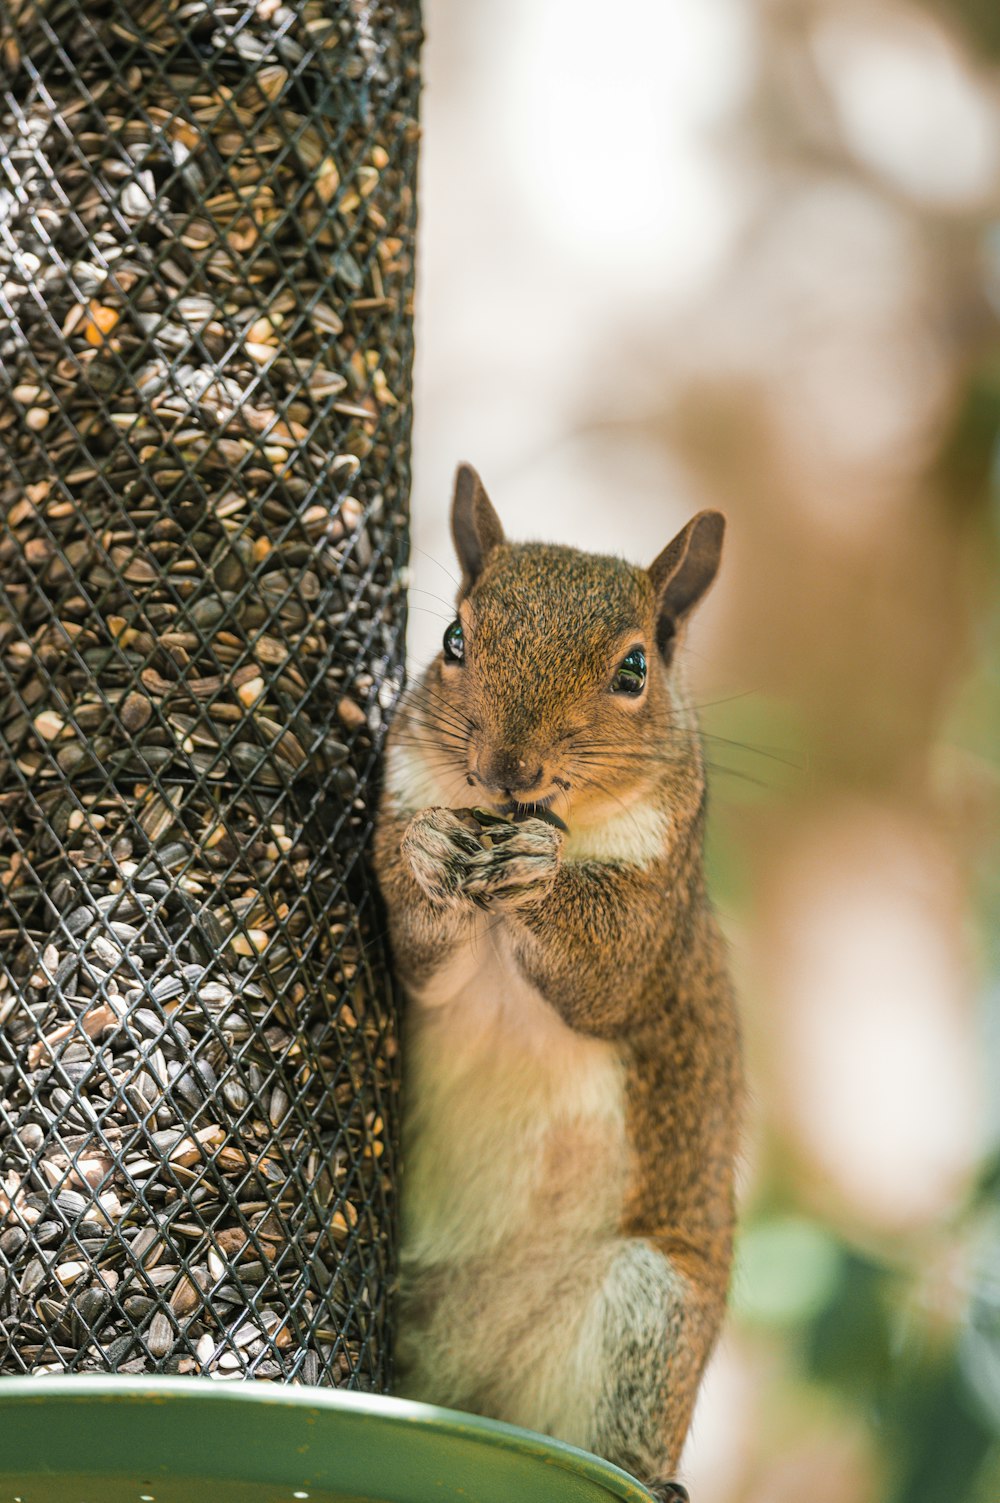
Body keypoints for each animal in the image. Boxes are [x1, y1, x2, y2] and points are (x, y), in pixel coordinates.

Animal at [374, 462, 739, 1496]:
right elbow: (418, 952)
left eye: (634, 670)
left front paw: (537, 870)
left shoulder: (659, 915)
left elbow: (604, 972)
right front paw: (429, 853)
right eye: (453, 640)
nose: (509, 768)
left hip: (649, 1312)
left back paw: (650, 1474)